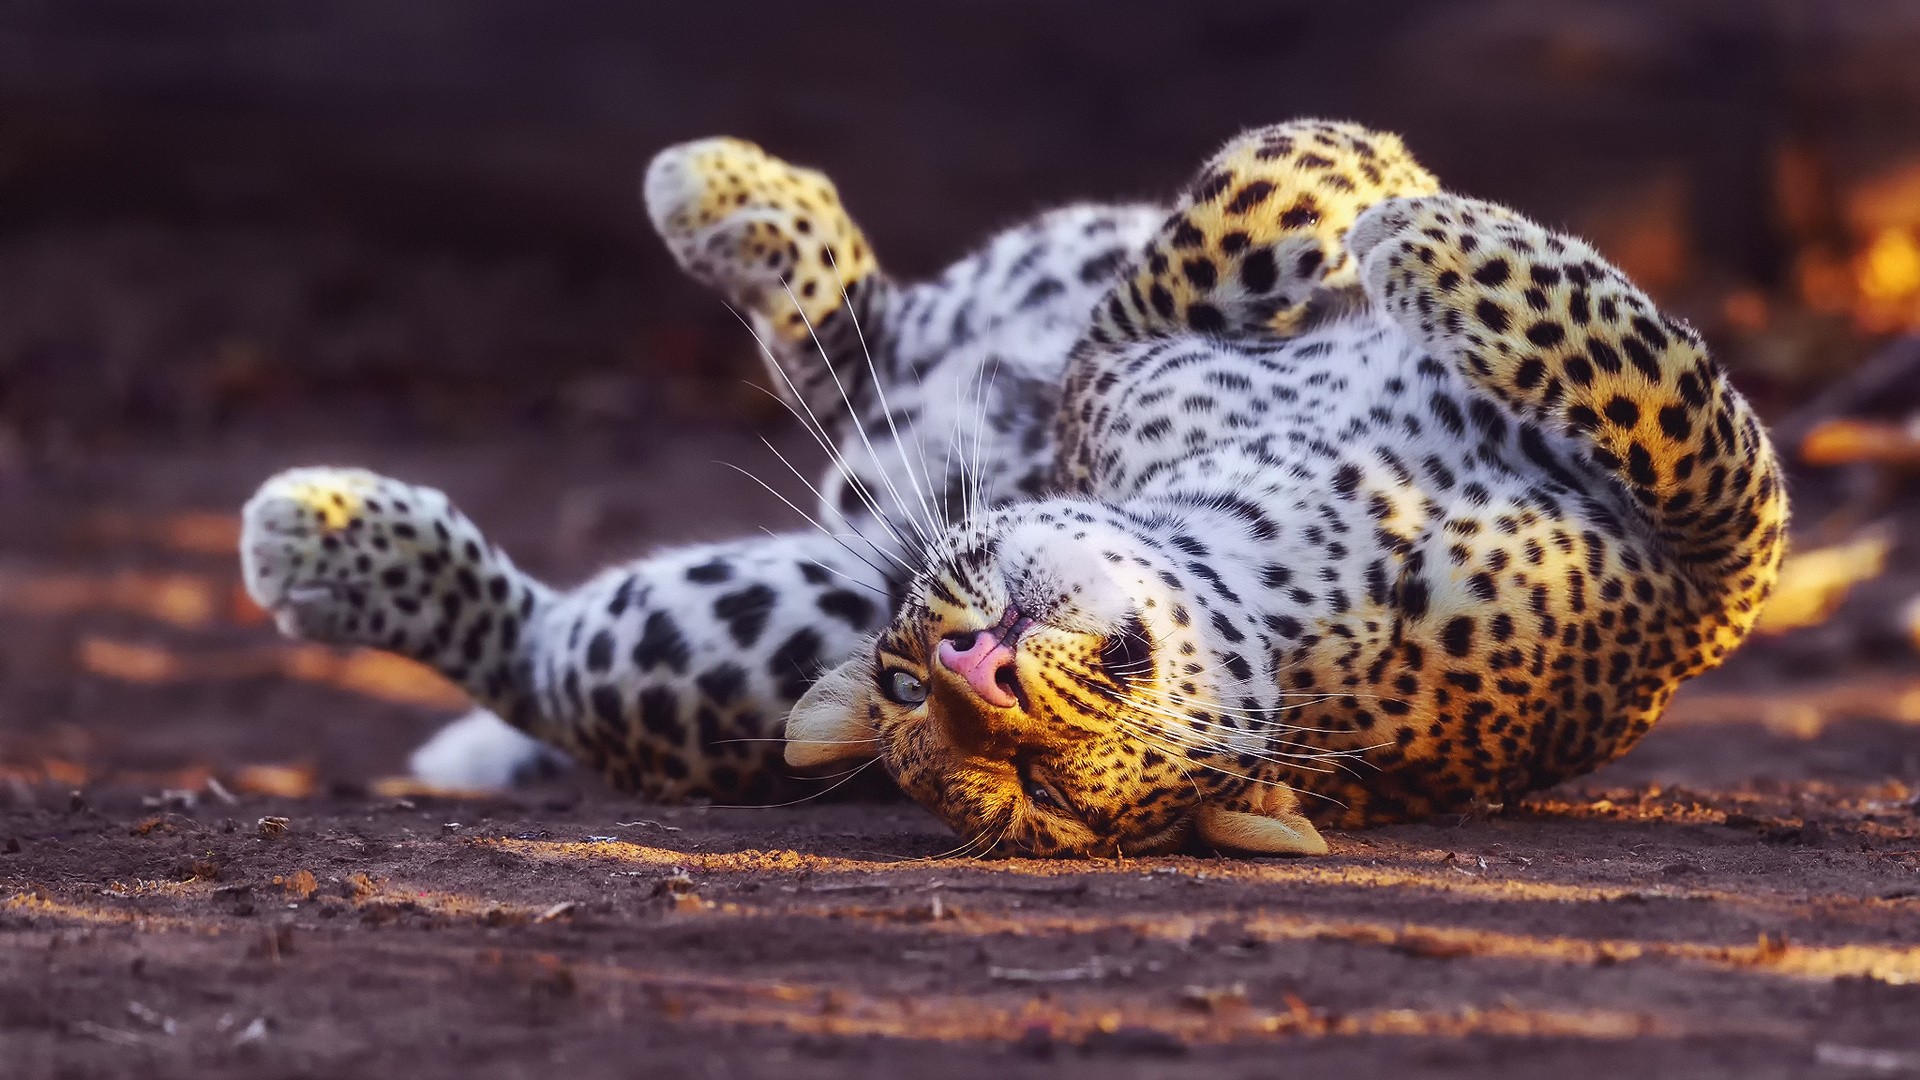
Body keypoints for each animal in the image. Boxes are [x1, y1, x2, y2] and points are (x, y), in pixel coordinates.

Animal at [241, 120, 1786, 857]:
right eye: (911, 691)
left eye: (1028, 777)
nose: (972, 668)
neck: (1275, 565)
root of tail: (864, 502)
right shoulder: (1122, 364)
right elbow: (1242, 200)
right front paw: (1396, 205)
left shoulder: (1700, 594)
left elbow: (1685, 425)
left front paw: (1408, 217)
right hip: (755, 595)